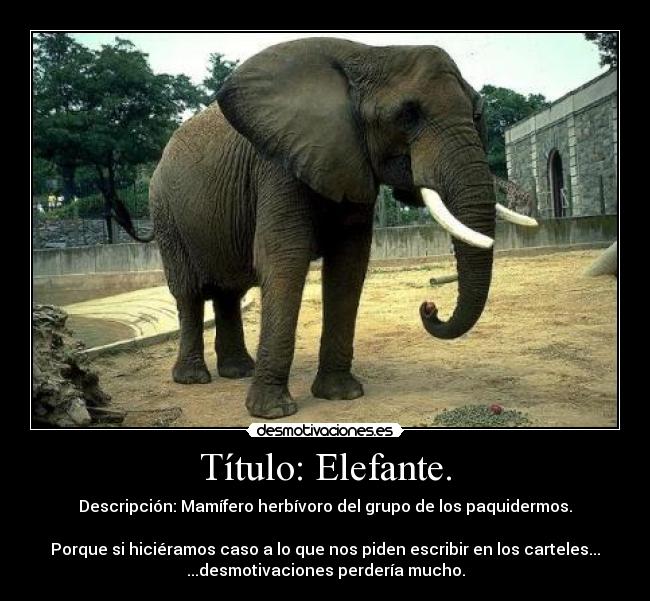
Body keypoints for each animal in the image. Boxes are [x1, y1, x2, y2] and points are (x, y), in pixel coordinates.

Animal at [148, 37, 533, 419]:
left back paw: (239, 371)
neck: (367, 54)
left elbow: (349, 264)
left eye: (477, 114)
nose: (429, 306)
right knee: (188, 292)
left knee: (229, 291)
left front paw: (341, 395)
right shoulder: (278, 166)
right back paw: (194, 378)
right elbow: (284, 259)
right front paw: (272, 412)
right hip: (164, 213)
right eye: (407, 115)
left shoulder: (352, 162)